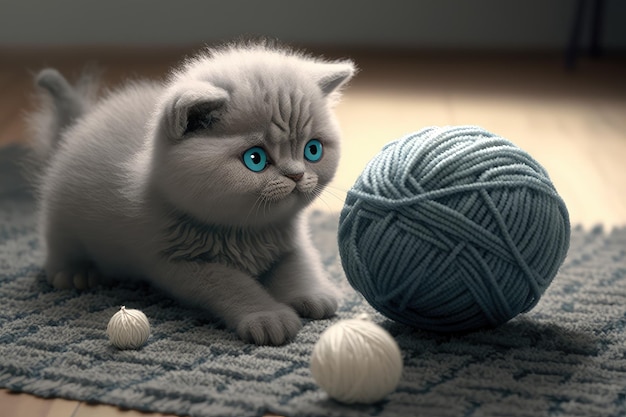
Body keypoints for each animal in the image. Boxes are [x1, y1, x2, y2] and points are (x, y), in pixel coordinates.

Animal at [29, 42, 356, 344]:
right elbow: (233, 284)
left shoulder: (289, 240)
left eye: (312, 150)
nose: (297, 175)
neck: (245, 232)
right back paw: (75, 272)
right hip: (63, 214)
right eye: (255, 159)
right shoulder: (179, 263)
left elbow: (300, 265)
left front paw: (314, 294)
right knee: (58, 240)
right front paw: (268, 316)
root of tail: (81, 123)